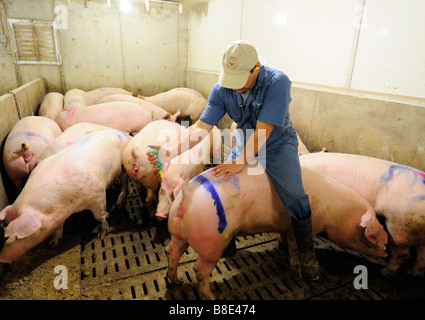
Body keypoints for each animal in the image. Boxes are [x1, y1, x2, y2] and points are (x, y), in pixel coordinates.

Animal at [0, 127, 131, 264]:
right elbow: (58, 227)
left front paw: (101, 235)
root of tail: (124, 134)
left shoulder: (97, 193)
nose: (2, 259)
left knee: (124, 182)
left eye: (14, 237)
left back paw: (118, 203)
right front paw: (52, 244)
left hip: (123, 165)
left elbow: (99, 216)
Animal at [166, 165, 388, 300]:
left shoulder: (285, 226)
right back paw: (210, 296)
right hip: (211, 243)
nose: (386, 251)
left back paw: (176, 281)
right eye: (373, 235)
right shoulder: (299, 228)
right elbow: (295, 248)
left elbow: (285, 239)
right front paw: (299, 273)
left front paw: (281, 246)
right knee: (198, 269)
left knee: (172, 252)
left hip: (178, 233)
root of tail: (187, 197)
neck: (335, 211)